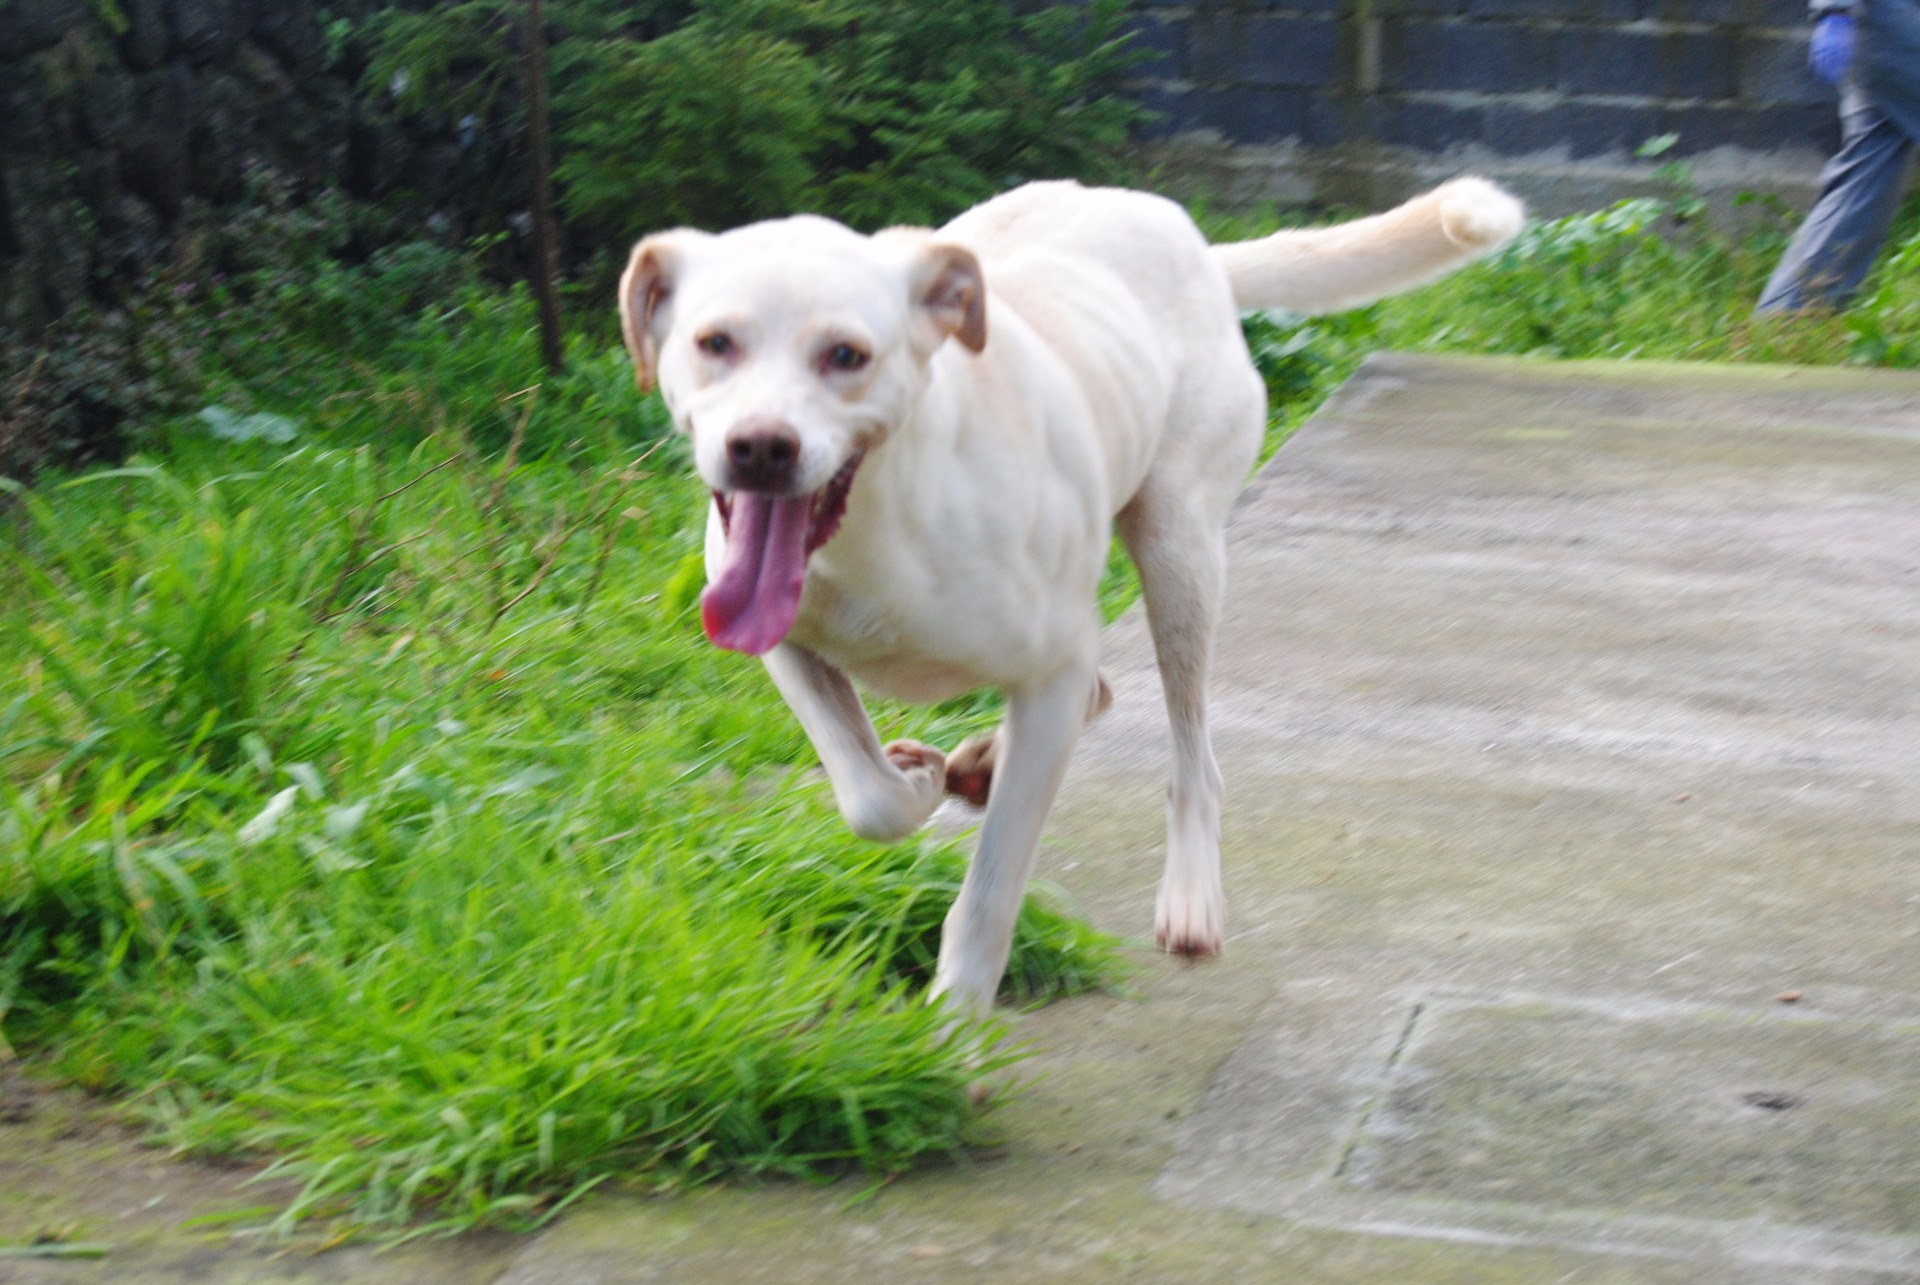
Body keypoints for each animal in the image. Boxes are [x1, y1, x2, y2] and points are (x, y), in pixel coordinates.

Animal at [619, 178, 1524, 1015]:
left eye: (847, 354)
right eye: (715, 342)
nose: (760, 448)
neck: (880, 518)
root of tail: (1188, 234)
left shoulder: (1049, 671)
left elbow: (990, 891)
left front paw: (955, 1025)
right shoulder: (788, 644)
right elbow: (869, 795)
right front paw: (916, 776)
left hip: (1178, 551)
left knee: (1192, 752)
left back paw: (1189, 895)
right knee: (1102, 689)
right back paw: (978, 762)